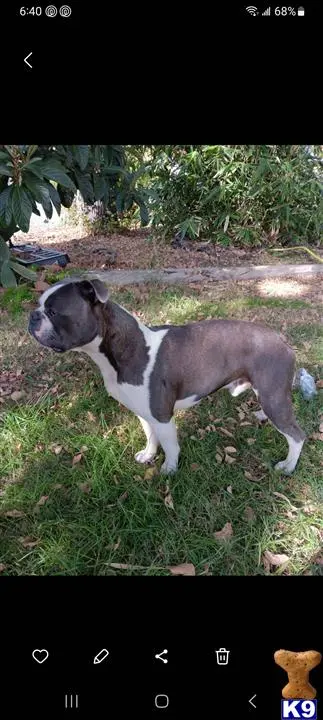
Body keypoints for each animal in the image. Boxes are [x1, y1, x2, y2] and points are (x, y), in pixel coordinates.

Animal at [27, 278, 306, 476]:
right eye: (40, 306)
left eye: (53, 312)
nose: (32, 315)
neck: (127, 348)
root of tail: (282, 340)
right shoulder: (144, 413)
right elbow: (151, 437)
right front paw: (148, 456)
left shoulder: (162, 415)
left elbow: (170, 445)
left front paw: (169, 470)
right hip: (272, 396)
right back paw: (261, 417)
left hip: (273, 397)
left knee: (297, 435)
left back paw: (288, 466)